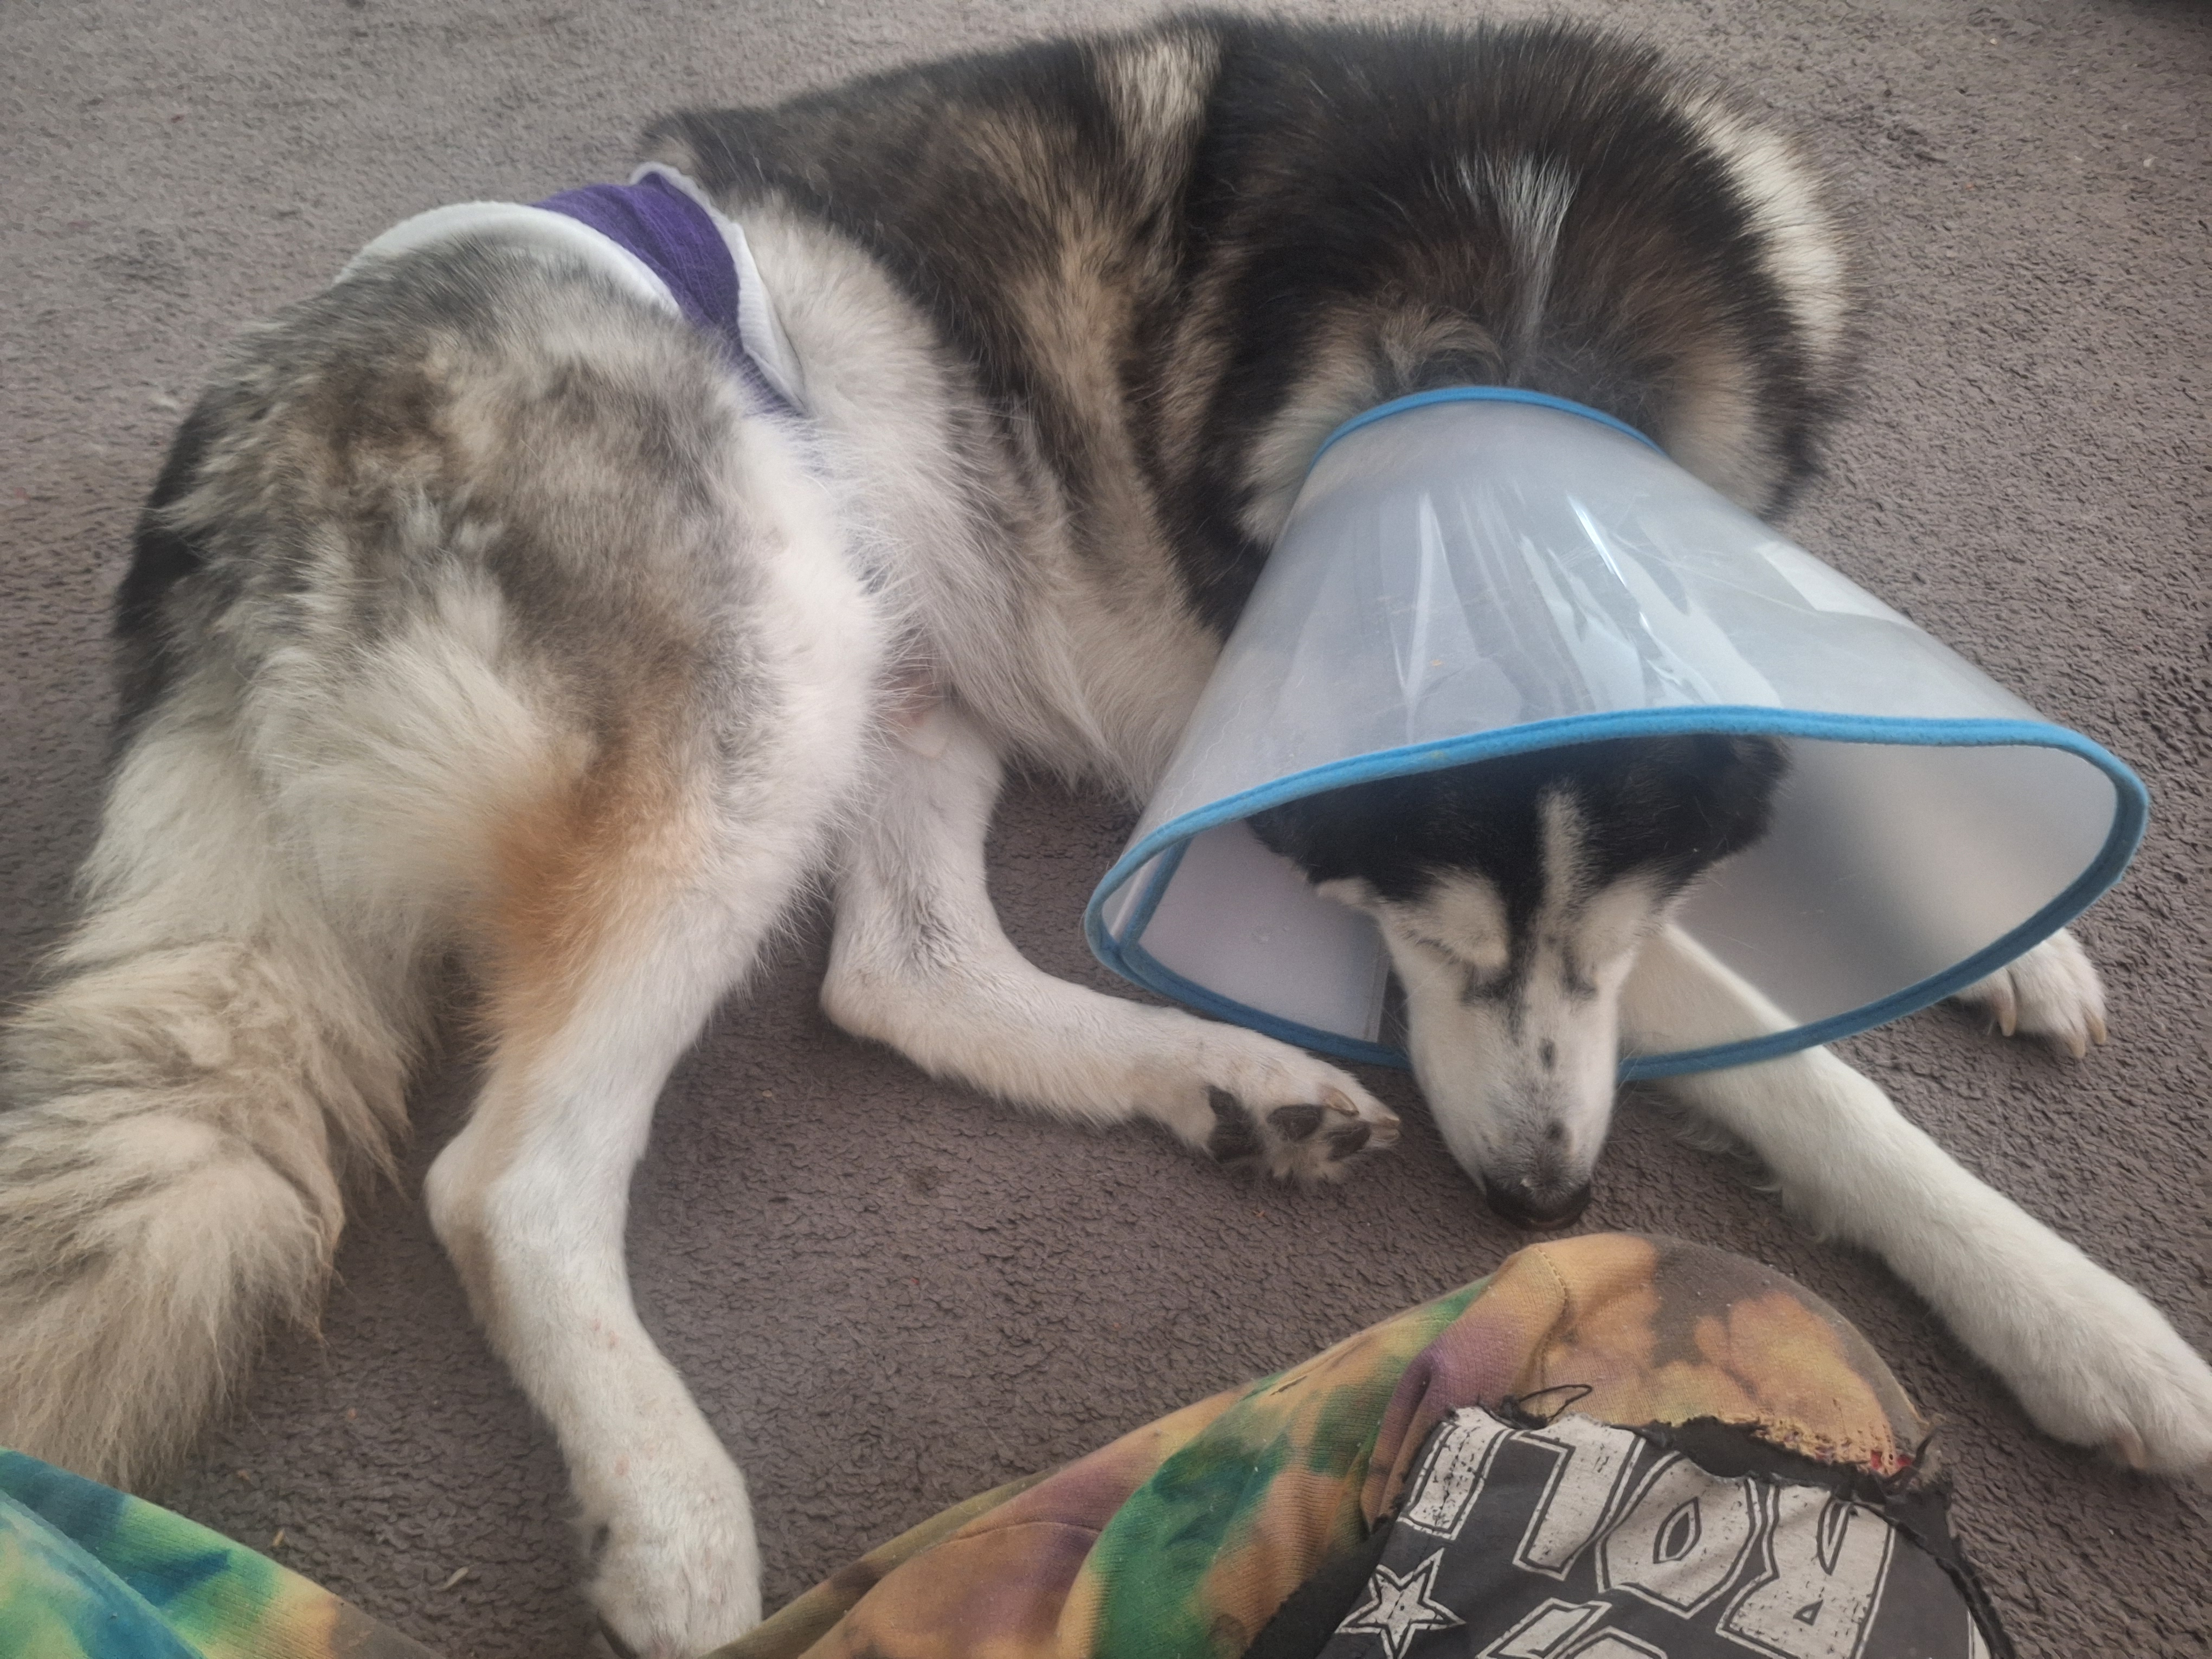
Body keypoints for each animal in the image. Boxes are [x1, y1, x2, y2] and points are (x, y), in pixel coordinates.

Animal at [2, 15, 2205, 1657]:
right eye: (1439, 930)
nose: (1534, 1196)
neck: (1515, 334)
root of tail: (227, 480)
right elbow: (1807, 1072)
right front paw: (2082, 1320)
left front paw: (2013, 929)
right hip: (772, 655)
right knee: (511, 1174)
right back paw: (673, 1508)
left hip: (917, 658)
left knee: (897, 976)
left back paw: (1228, 1083)